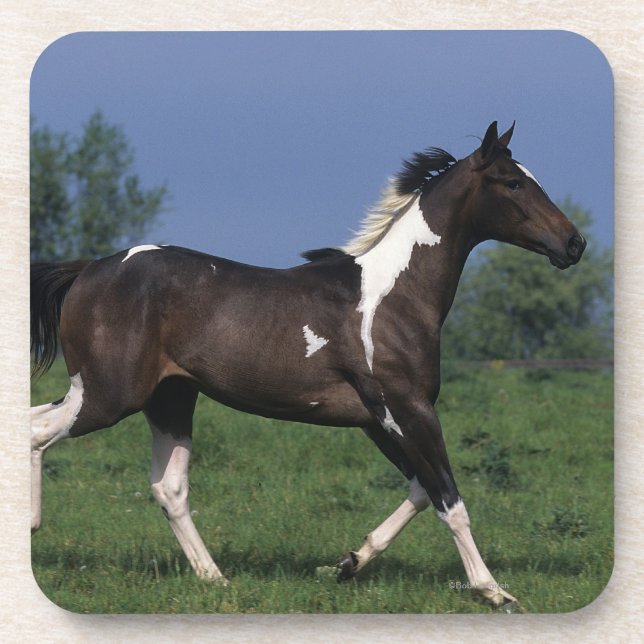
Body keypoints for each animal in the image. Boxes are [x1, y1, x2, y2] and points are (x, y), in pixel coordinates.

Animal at [30, 121, 586, 609]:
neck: (395, 298)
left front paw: (349, 562)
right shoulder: (409, 410)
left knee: (166, 487)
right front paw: (494, 591)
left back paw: (215, 578)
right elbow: (450, 499)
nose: (574, 244)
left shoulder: (378, 421)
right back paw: (34, 527)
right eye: (513, 182)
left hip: (167, 399)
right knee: (37, 434)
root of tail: (89, 268)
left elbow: (421, 491)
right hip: (108, 396)